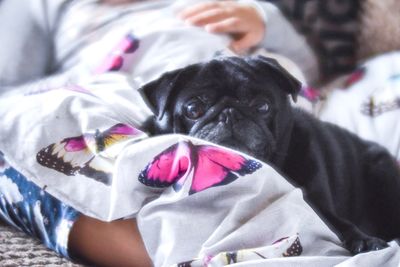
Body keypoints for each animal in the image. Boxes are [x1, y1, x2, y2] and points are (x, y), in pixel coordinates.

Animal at [140, 56, 400, 255]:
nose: (230, 113)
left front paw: (364, 241)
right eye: (193, 109)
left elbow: (338, 222)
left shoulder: (319, 203)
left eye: (262, 106)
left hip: (382, 174)